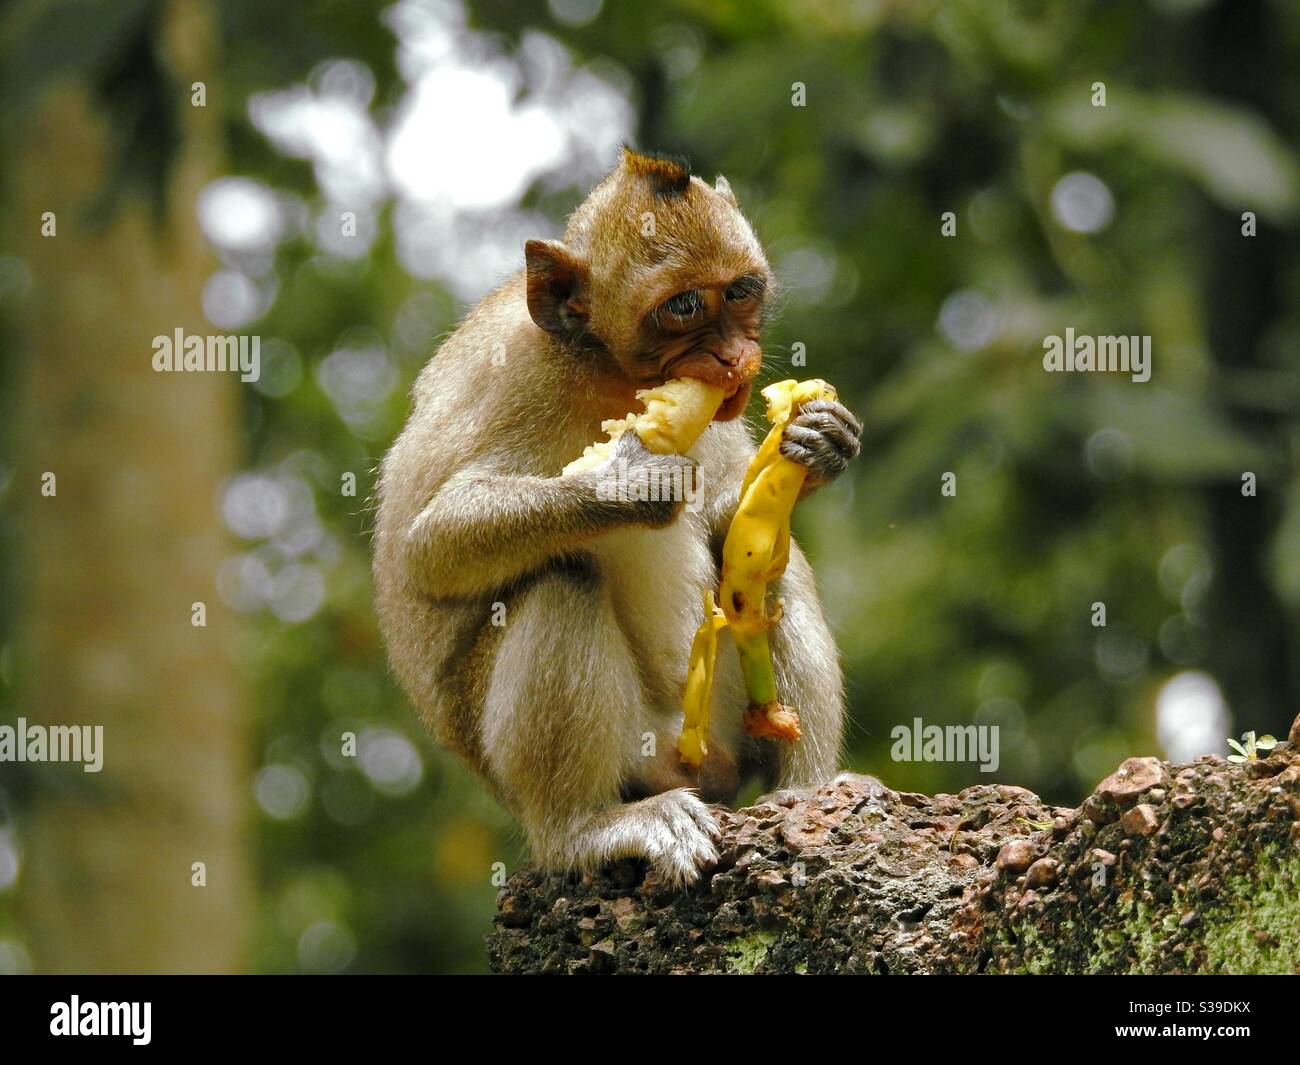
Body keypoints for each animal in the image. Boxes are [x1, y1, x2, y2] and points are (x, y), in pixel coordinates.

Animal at [373, 148, 863, 885]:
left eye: (740, 291)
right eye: (683, 306)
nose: (734, 358)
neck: (607, 369)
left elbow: (728, 520)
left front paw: (819, 439)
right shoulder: (514, 378)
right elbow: (429, 548)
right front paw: (630, 481)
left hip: (715, 722)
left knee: (774, 568)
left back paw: (805, 791)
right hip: (639, 753)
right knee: (561, 580)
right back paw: (583, 828)